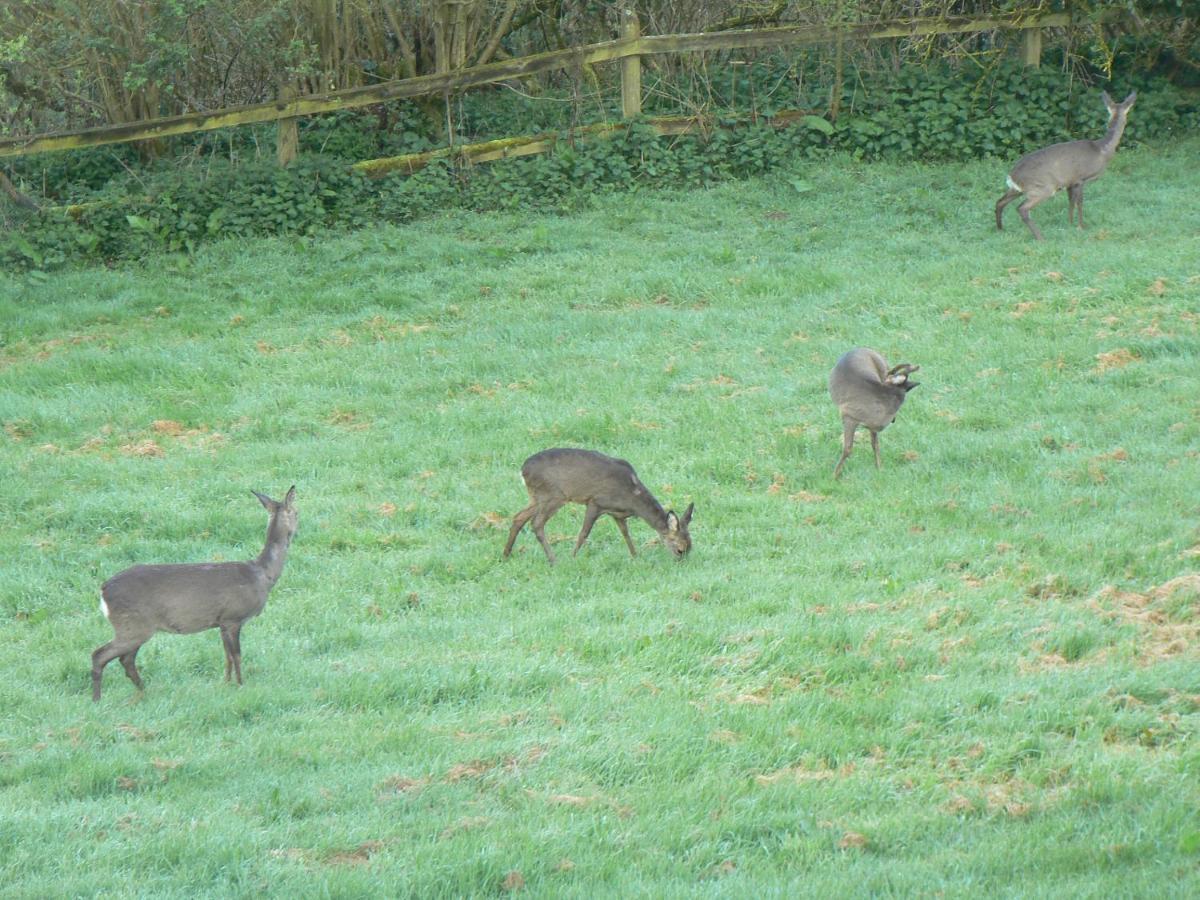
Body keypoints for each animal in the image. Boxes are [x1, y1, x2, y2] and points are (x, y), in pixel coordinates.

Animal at [90, 487, 297, 705]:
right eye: (297, 512)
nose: (297, 531)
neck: (263, 575)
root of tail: (103, 590)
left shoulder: (222, 622)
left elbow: (227, 656)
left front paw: (226, 684)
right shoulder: (234, 617)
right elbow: (237, 655)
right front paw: (241, 685)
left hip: (134, 627)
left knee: (126, 659)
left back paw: (143, 691)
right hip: (133, 625)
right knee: (100, 655)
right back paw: (98, 699)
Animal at [504, 448, 696, 566]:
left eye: (690, 547)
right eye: (680, 549)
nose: (681, 563)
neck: (631, 498)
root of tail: (523, 470)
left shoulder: (618, 514)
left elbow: (626, 535)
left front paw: (635, 557)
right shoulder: (596, 502)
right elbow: (583, 533)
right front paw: (573, 557)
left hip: (537, 497)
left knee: (518, 517)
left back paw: (506, 554)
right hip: (553, 495)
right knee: (536, 523)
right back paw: (553, 560)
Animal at [830, 348, 921, 482]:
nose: (890, 372)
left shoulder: (871, 426)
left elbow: (875, 445)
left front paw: (879, 468)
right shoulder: (848, 415)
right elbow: (848, 448)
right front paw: (835, 476)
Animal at [998, 90, 1137, 241]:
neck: (1102, 150)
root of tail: (1012, 175)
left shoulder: (1069, 182)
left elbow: (1070, 202)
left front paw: (1069, 224)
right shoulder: (1080, 179)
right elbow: (1079, 202)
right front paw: (1081, 227)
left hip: (1017, 189)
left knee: (1000, 202)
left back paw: (1000, 229)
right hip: (1043, 187)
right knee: (1022, 208)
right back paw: (1041, 238)